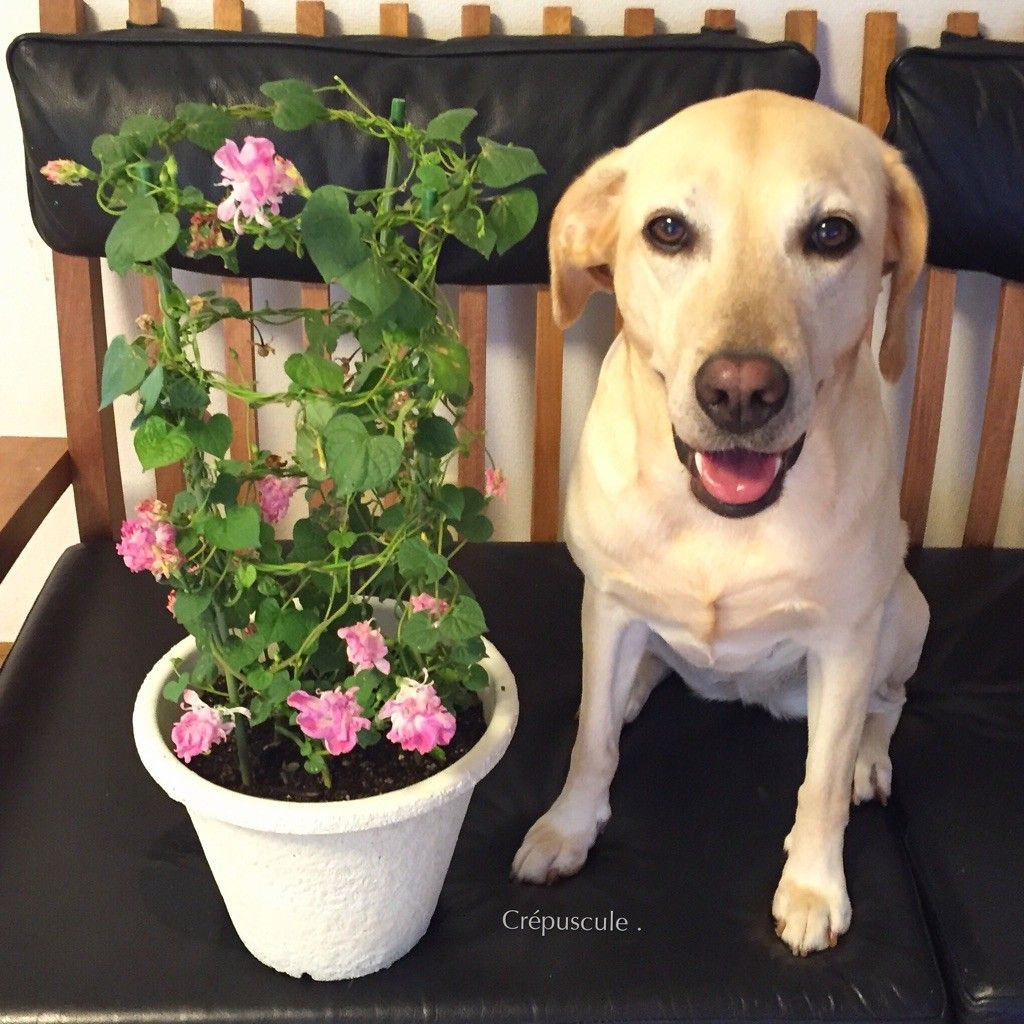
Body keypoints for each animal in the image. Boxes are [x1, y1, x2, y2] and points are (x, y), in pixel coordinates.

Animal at [509, 90, 929, 958]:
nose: (739, 391)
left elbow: (820, 783)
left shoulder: (844, 642)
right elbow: (592, 743)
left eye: (831, 234)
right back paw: (635, 686)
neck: (723, 521)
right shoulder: (609, 603)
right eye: (668, 229)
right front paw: (568, 829)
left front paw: (813, 885)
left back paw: (872, 760)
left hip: (903, 612)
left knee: (889, 703)